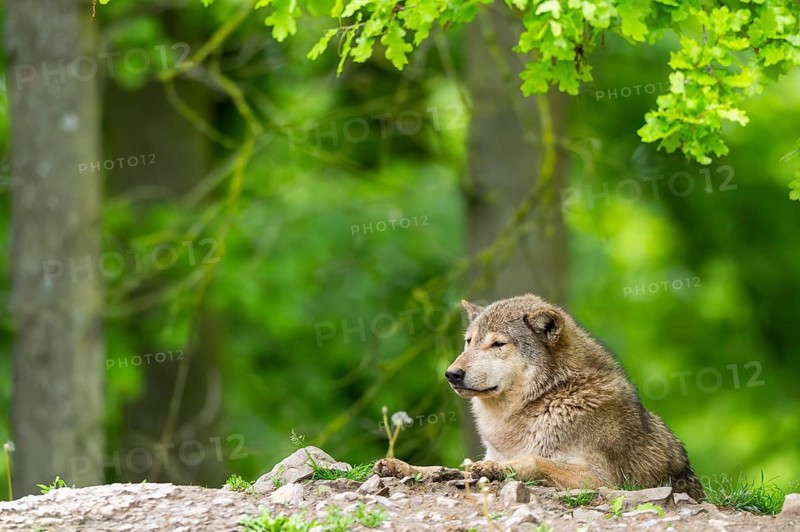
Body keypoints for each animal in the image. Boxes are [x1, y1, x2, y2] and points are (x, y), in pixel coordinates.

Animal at [375, 294, 705, 501]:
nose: (451, 374)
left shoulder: (603, 480)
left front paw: (497, 470)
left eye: (498, 344)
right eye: (468, 342)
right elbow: (445, 469)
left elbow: (533, 460)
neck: (547, 399)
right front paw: (401, 466)